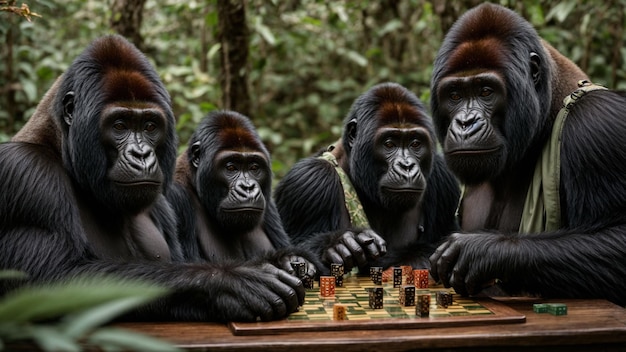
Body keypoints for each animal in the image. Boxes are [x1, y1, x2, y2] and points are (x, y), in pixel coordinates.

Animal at [426, 2, 624, 306]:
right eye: (455, 95)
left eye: (486, 91)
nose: (465, 123)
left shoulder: (598, 124)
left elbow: (619, 238)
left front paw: (483, 251)